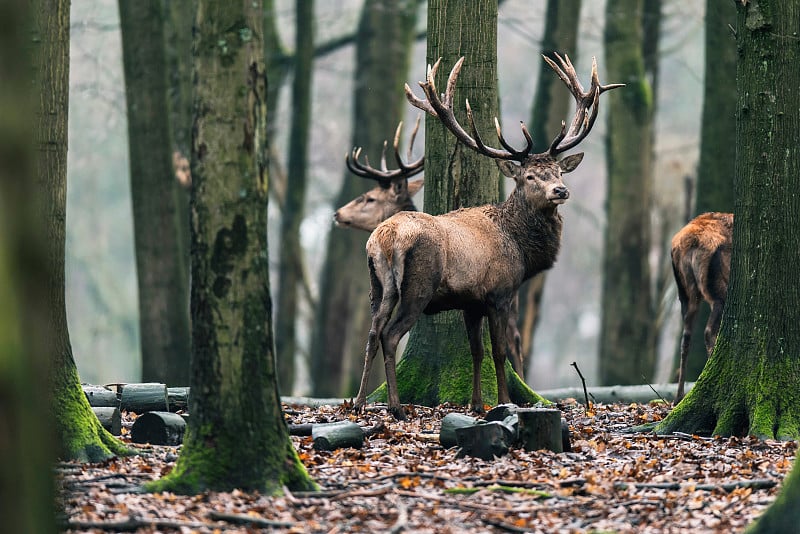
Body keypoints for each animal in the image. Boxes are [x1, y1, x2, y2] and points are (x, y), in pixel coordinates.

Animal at [356, 55, 624, 422]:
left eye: (558, 171)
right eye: (530, 176)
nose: (561, 190)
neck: (520, 248)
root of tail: (385, 237)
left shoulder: (471, 302)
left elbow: (476, 351)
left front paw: (474, 404)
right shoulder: (500, 292)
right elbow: (499, 351)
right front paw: (504, 401)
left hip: (377, 284)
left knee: (371, 332)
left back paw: (358, 403)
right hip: (417, 286)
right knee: (390, 334)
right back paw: (396, 407)